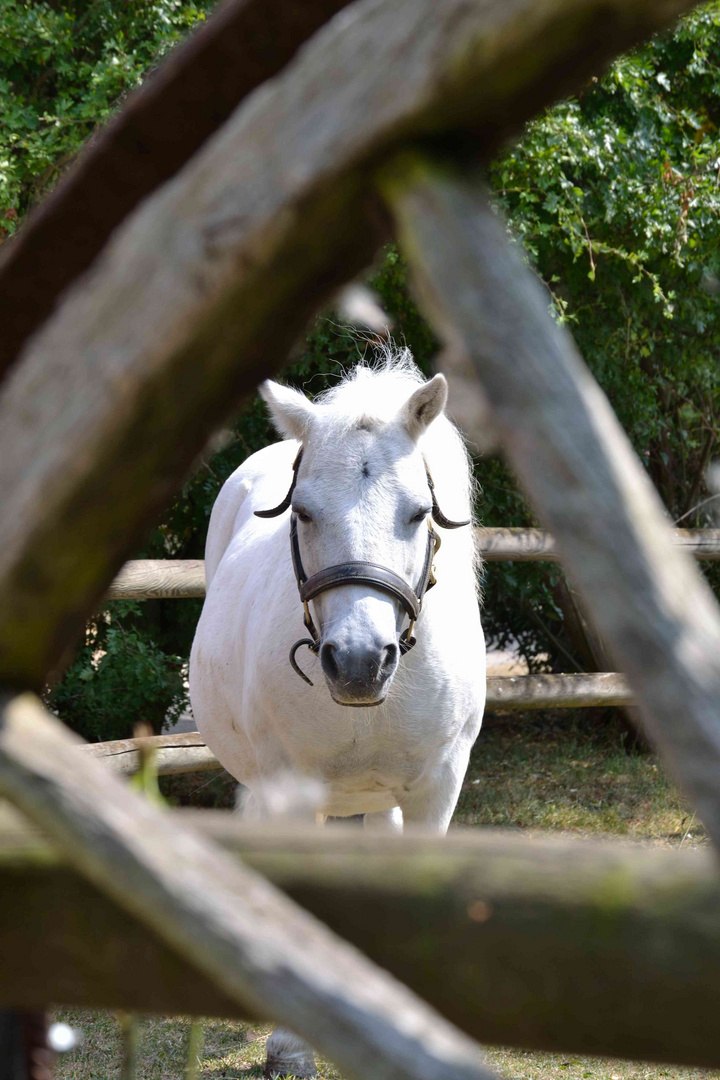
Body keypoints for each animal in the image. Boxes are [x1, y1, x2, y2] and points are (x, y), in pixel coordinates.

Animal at [188, 352, 487, 1071]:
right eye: (302, 512)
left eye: (417, 513)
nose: (357, 660)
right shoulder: (292, 789)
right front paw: (291, 1044)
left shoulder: (438, 786)